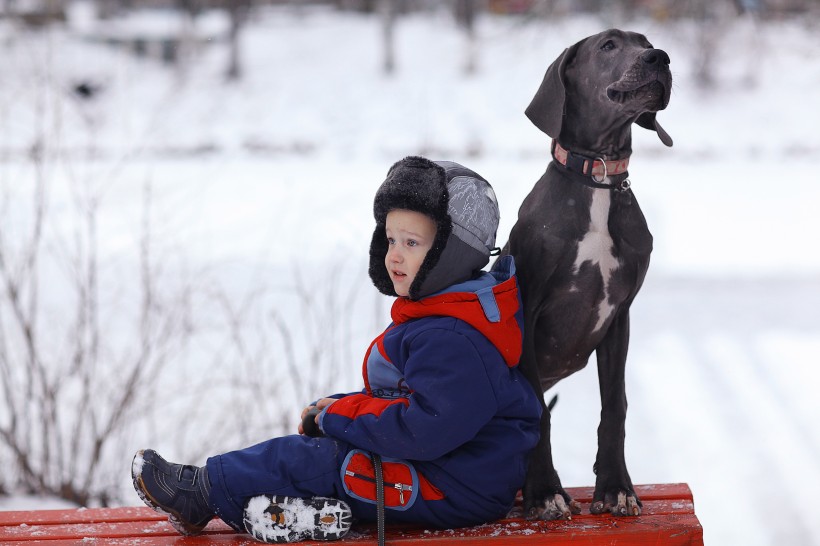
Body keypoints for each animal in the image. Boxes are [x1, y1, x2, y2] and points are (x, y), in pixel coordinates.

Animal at [500, 28, 672, 520]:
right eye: (608, 45)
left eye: (645, 41)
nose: (660, 57)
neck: (597, 177)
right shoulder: (526, 313)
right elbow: (537, 412)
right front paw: (544, 492)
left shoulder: (619, 316)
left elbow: (615, 405)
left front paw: (615, 487)